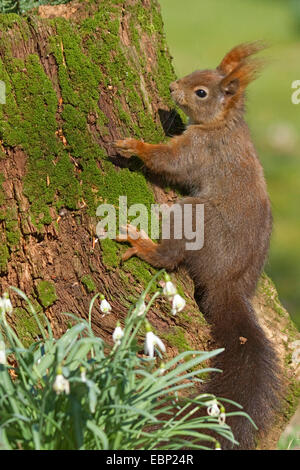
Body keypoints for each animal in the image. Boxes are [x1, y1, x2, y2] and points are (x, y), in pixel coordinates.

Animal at [113, 44, 282, 452]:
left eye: (202, 92)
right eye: (195, 74)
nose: (173, 87)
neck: (221, 125)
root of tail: (230, 284)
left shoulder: (200, 150)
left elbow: (170, 161)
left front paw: (135, 146)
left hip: (194, 216)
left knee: (172, 258)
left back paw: (143, 245)